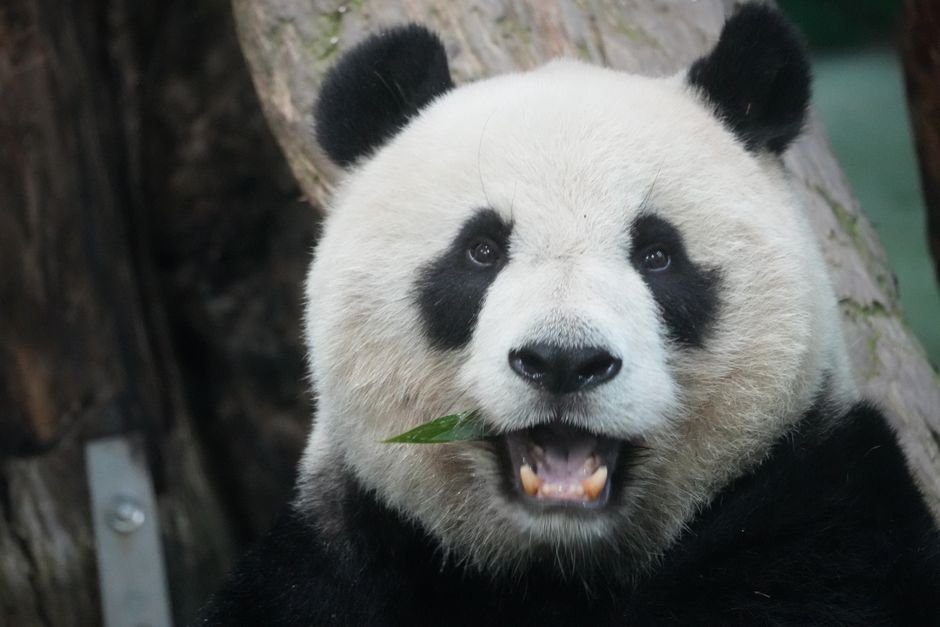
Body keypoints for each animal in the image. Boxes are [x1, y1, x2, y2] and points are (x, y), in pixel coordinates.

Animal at [198, 5, 940, 626]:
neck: (557, 565)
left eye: (657, 254)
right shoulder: (343, 549)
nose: (563, 360)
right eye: (481, 250)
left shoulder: (821, 516)